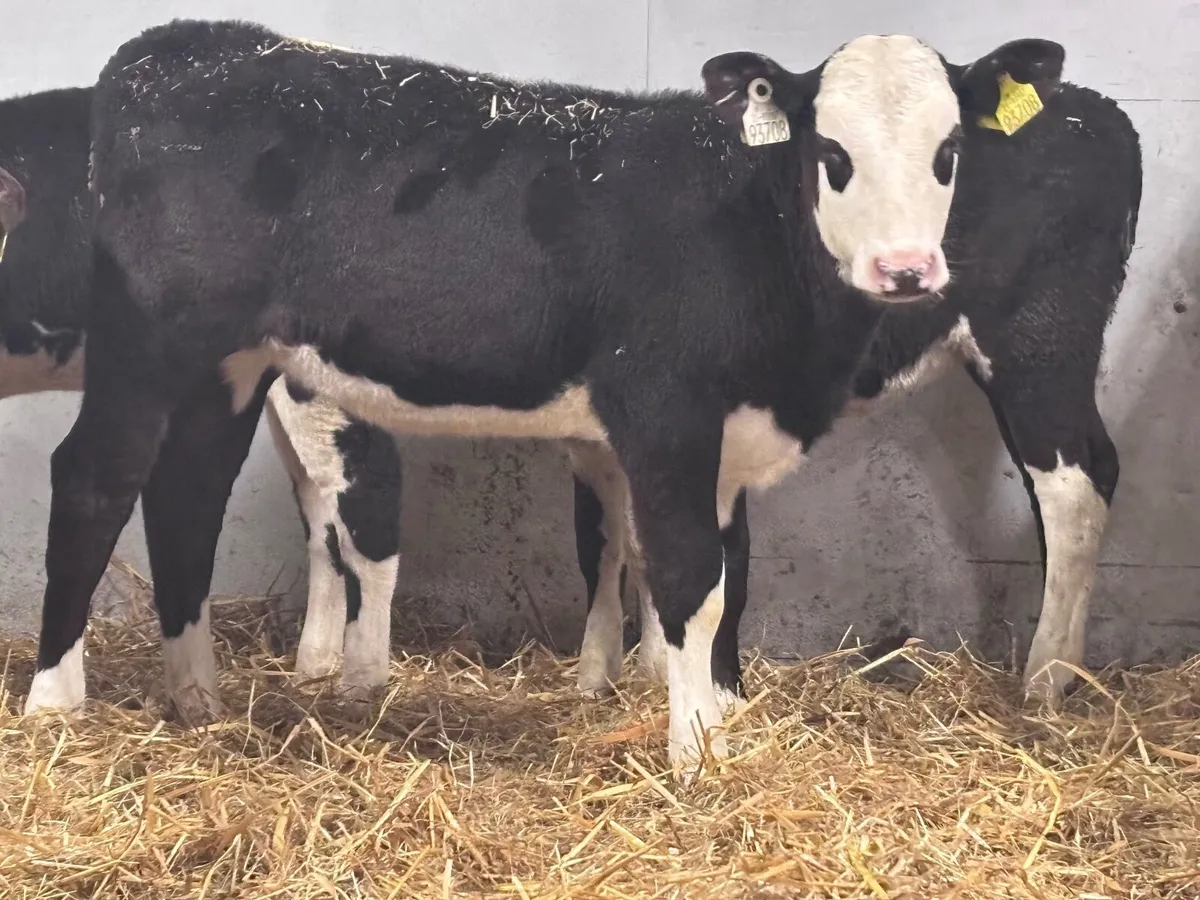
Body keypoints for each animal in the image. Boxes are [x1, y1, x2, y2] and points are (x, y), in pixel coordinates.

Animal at [19, 18, 1068, 772]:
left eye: (949, 152)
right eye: (832, 153)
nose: (906, 269)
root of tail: (177, 45)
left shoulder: (727, 439)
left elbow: (733, 577)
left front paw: (721, 716)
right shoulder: (666, 417)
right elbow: (691, 581)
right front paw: (698, 756)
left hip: (227, 366)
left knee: (184, 498)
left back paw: (196, 699)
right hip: (147, 344)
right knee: (95, 480)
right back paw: (56, 701)